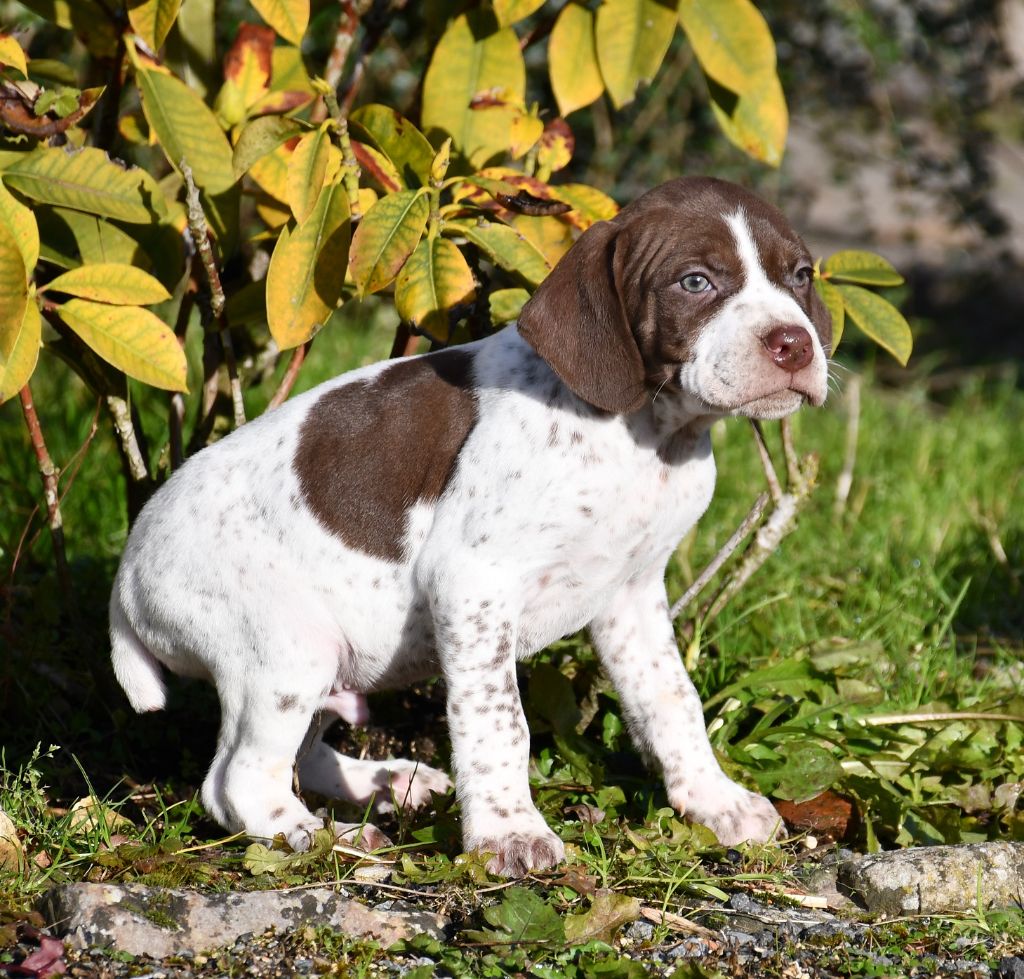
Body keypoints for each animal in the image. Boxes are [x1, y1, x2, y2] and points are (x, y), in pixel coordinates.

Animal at [112, 178, 831, 880]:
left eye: (800, 275)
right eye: (696, 282)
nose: (794, 344)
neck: (647, 435)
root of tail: (126, 584)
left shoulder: (632, 595)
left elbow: (673, 702)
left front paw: (715, 802)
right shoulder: (474, 583)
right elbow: (499, 719)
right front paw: (509, 833)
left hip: (328, 658)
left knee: (302, 751)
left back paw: (382, 783)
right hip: (288, 647)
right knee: (236, 781)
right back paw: (320, 840)